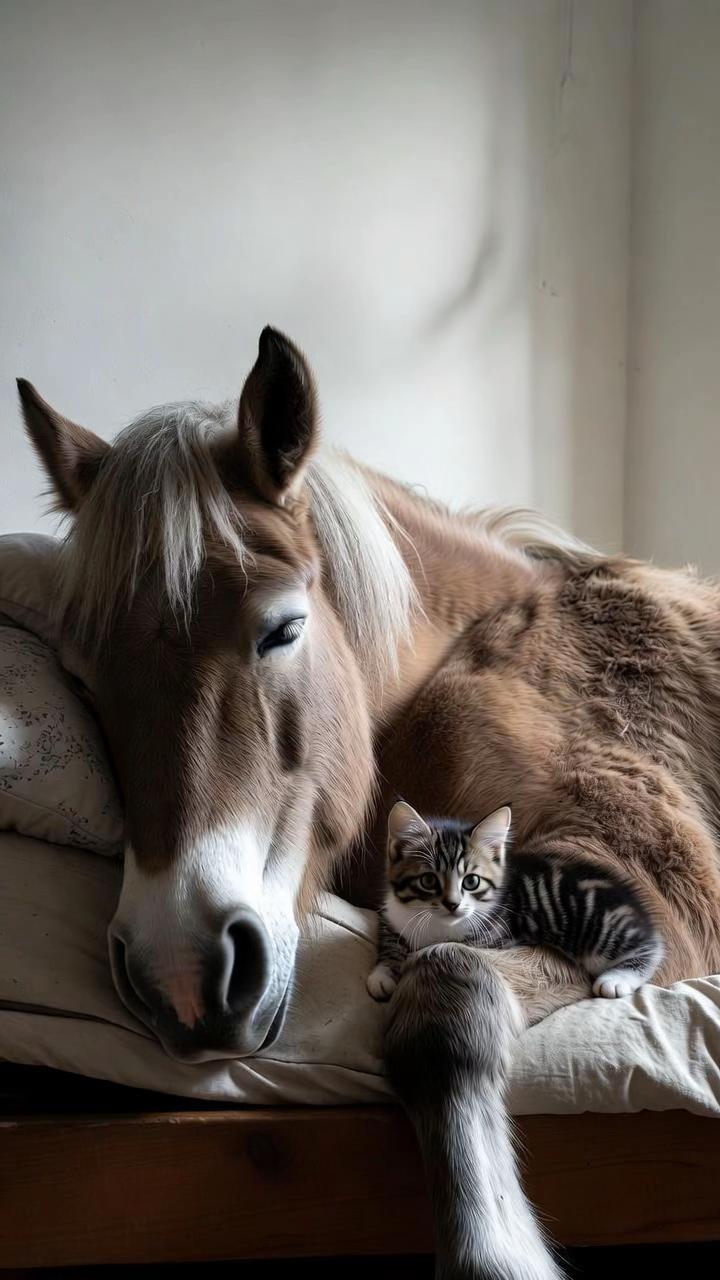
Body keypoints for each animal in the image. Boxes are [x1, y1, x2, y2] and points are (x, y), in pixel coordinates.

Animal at [18, 327, 720, 1280]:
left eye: (283, 629)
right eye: (83, 681)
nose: (184, 977)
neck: (481, 649)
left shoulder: (657, 903)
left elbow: (450, 983)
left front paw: (493, 1250)